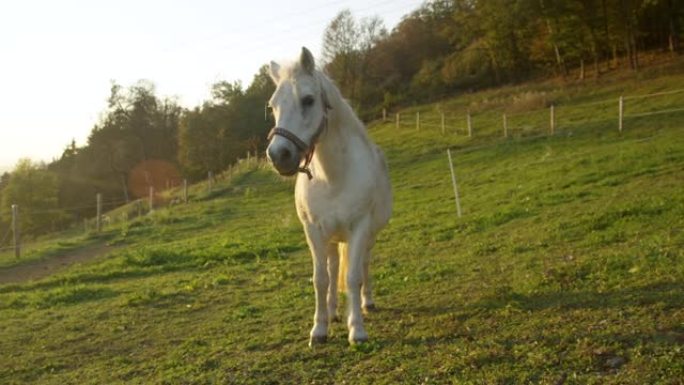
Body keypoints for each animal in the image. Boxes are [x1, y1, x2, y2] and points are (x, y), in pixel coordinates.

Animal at [266, 46, 392, 344]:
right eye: (273, 106)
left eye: (308, 100)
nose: (279, 155)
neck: (332, 178)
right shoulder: (313, 230)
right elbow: (321, 278)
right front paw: (319, 329)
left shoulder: (360, 227)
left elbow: (354, 277)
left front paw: (356, 329)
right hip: (332, 238)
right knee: (334, 269)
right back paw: (334, 312)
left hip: (368, 235)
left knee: (364, 264)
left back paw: (367, 303)